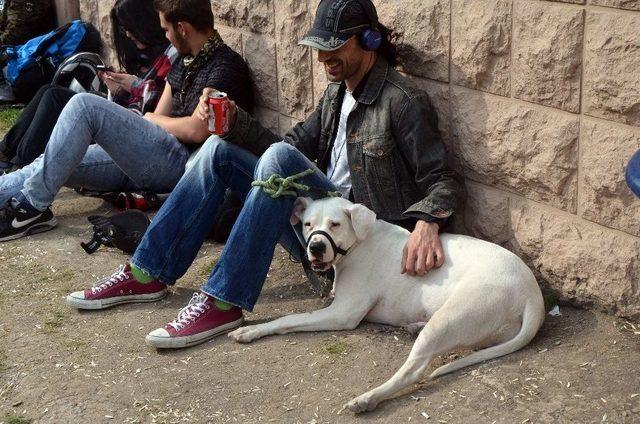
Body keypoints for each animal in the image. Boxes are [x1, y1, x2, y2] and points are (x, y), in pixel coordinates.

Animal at [228, 197, 544, 412]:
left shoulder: (342, 314)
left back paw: (367, 398)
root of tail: (532, 295)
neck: (358, 243)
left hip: (450, 318)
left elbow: (288, 319)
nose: (315, 247)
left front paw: (250, 331)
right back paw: (414, 326)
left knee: (412, 371)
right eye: (308, 224)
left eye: (335, 224)